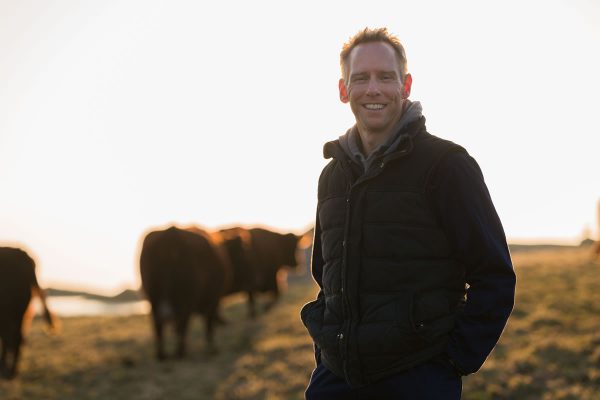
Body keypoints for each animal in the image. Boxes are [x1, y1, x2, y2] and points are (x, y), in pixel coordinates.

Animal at [141, 225, 234, 360]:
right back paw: (181, 352)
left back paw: (162, 355)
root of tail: (171, 233)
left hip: (153, 296)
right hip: (186, 298)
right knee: (182, 324)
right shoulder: (212, 301)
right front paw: (211, 348)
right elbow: (208, 324)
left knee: (158, 324)